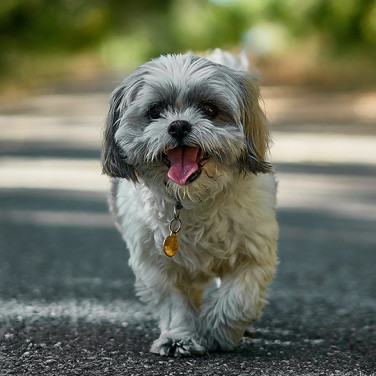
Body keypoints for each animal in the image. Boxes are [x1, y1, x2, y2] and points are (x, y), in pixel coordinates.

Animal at [101, 49, 278, 356]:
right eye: (155, 111)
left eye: (209, 109)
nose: (179, 125)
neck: (192, 200)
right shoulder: (156, 264)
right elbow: (174, 303)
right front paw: (178, 337)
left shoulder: (253, 254)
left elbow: (238, 298)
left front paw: (217, 332)